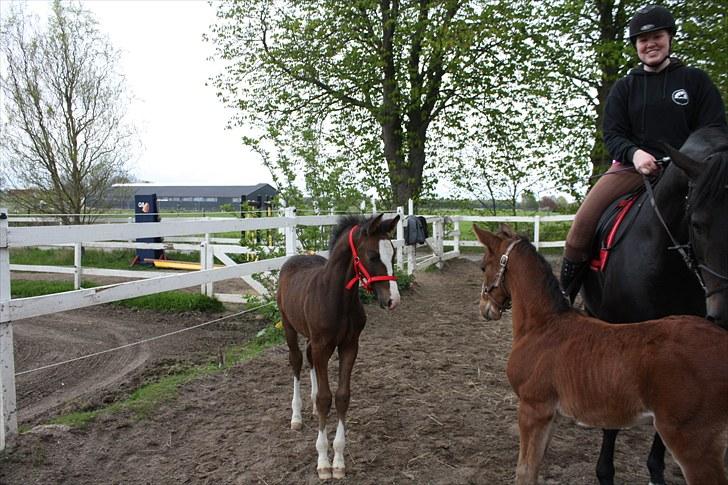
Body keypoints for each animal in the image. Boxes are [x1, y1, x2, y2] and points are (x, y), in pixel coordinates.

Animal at [274, 214, 398, 478]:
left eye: (392, 253)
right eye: (373, 256)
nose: (393, 300)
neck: (338, 298)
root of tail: (296, 258)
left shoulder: (349, 346)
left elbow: (341, 397)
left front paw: (339, 461)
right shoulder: (323, 346)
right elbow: (325, 398)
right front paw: (323, 462)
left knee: (308, 358)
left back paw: (309, 408)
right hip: (289, 326)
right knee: (296, 361)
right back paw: (297, 416)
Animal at [472, 226, 728, 484]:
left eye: (483, 267)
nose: (485, 308)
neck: (544, 324)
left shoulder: (533, 408)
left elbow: (525, 471)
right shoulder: (551, 414)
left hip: (692, 442)